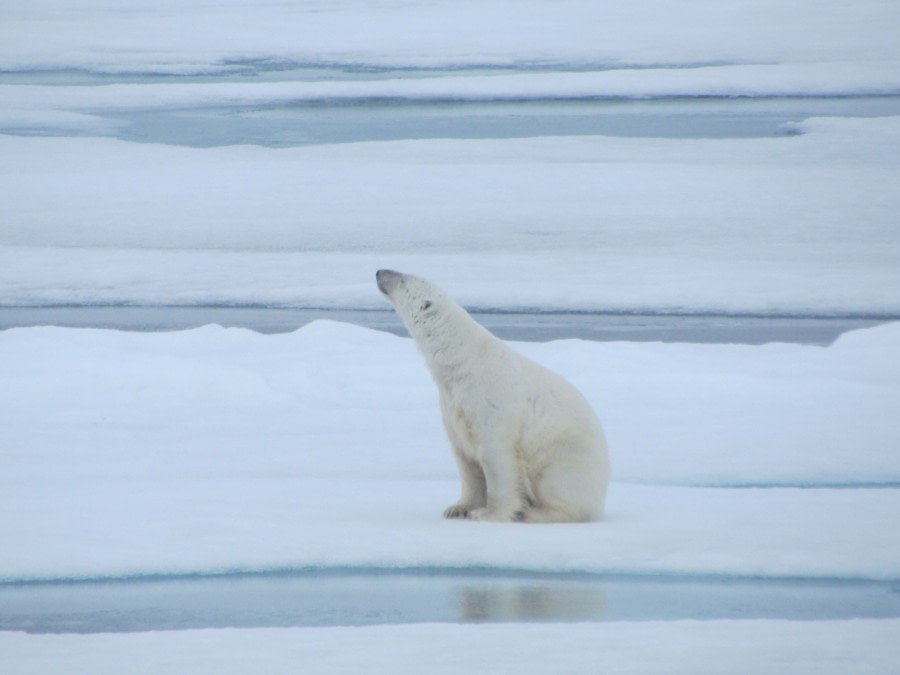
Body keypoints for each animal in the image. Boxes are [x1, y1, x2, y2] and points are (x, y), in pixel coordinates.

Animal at [376, 270, 608, 524]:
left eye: (403, 278)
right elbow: (465, 458)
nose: (379, 272)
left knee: (559, 486)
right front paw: (457, 508)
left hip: (566, 454)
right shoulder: (452, 404)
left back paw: (533, 512)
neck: (464, 361)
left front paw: (487, 513)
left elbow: (496, 455)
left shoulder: (492, 399)